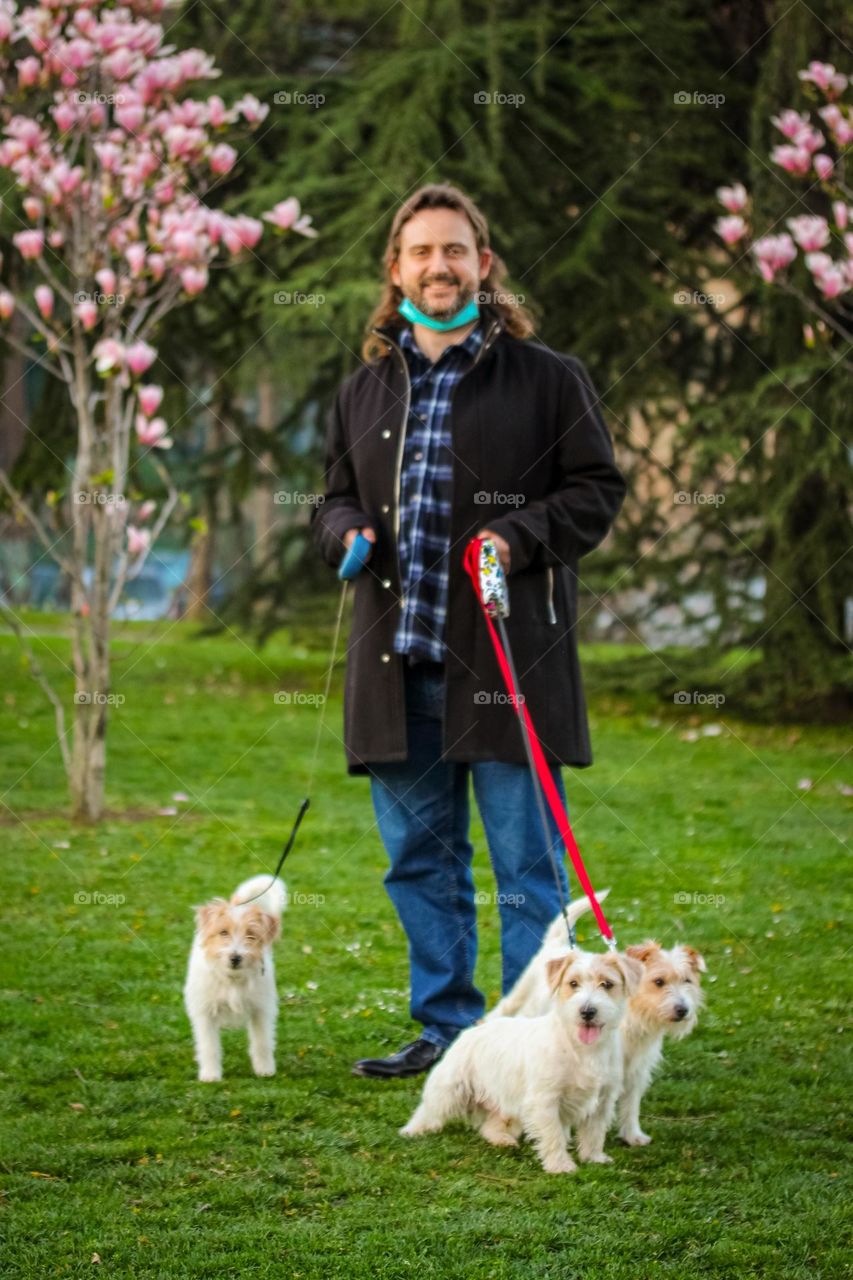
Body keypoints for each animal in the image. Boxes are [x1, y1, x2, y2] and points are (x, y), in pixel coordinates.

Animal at [183, 870, 285, 1080]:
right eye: (223, 932)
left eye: (251, 935)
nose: (235, 957)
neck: (232, 979)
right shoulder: (205, 1012)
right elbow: (209, 1047)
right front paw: (210, 1075)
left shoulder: (261, 1009)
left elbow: (262, 1043)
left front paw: (265, 1070)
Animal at [399, 947, 637, 1172]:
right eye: (573, 983)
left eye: (607, 984)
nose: (587, 1011)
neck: (583, 1048)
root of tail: (474, 1029)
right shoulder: (545, 1100)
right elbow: (553, 1135)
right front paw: (560, 1165)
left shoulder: (603, 1100)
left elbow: (594, 1133)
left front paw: (594, 1158)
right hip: (450, 1088)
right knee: (428, 1109)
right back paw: (412, 1131)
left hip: (506, 1104)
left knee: (490, 1126)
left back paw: (503, 1140)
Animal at [484, 916, 701, 1146]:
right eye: (659, 981)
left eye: (687, 981)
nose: (683, 1010)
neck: (631, 1018)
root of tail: (557, 945)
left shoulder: (635, 1072)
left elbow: (631, 1105)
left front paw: (632, 1135)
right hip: (520, 1002)